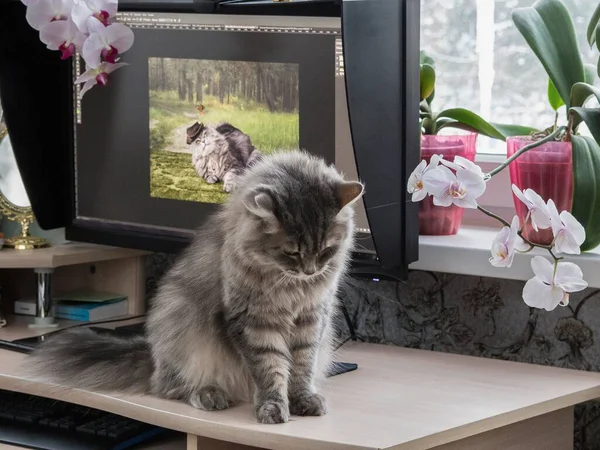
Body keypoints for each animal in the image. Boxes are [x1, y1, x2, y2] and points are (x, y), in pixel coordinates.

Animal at [24, 152, 366, 426]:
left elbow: (302, 365)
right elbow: (271, 368)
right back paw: (208, 394)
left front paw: (302, 399)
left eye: (326, 250)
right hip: (181, 320)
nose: (311, 271)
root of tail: (151, 355)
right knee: (170, 387)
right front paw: (273, 406)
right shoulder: (254, 321)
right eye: (292, 252)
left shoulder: (313, 316)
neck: (290, 284)